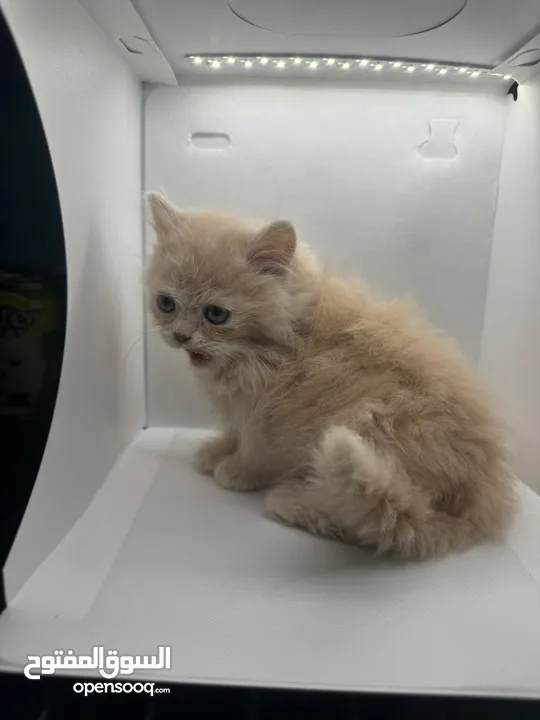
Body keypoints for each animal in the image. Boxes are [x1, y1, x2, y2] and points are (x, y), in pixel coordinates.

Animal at [146, 194, 516, 560]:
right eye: (166, 303)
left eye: (216, 315)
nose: (180, 336)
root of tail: (477, 509)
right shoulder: (242, 409)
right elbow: (233, 432)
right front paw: (216, 451)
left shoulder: (270, 412)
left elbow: (255, 449)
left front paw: (236, 471)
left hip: (371, 425)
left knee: (371, 522)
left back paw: (293, 502)